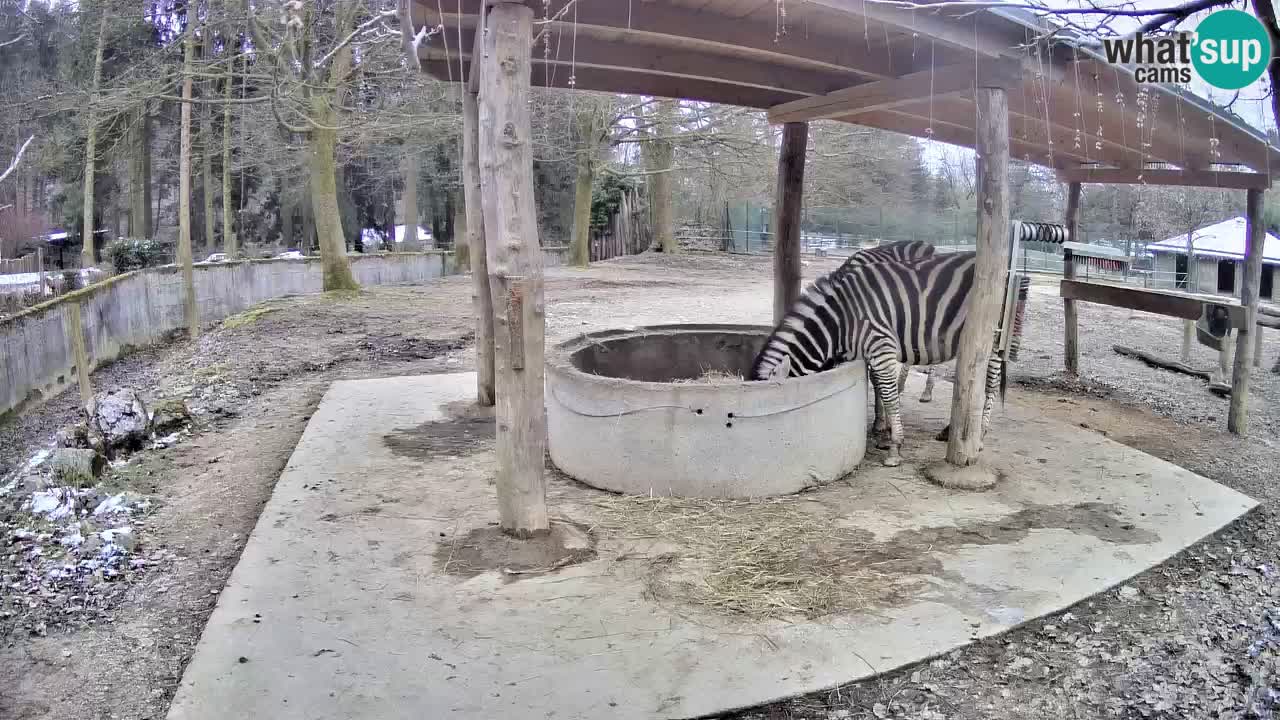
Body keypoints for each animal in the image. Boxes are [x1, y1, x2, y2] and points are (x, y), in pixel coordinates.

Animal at [747, 251, 1008, 466]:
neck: (841, 322)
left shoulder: (881, 346)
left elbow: (890, 395)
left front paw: (894, 447)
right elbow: (881, 390)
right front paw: (885, 434)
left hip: (993, 337)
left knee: (990, 385)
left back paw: (979, 437)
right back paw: (950, 431)